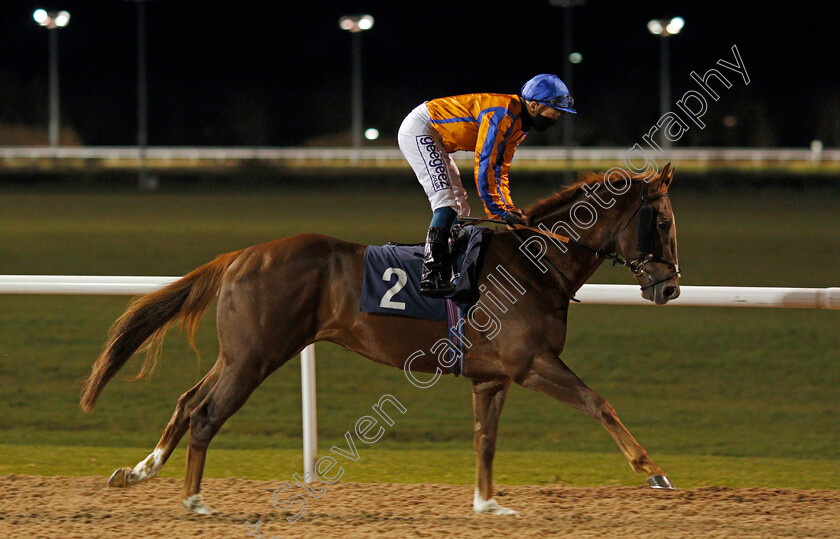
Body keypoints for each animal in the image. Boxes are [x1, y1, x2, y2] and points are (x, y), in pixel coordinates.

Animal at [79, 163, 684, 516]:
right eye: (661, 222)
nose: (671, 286)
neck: (535, 264)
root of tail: (238, 257)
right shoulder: (531, 362)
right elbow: (598, 402)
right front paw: (653, 471)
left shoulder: (491, 377)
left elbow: (485, 439)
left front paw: (488, 505)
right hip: (255, 356)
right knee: (206, 414)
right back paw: (194, 500)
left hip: (240, 353)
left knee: (188, 402)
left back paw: (138, 472)